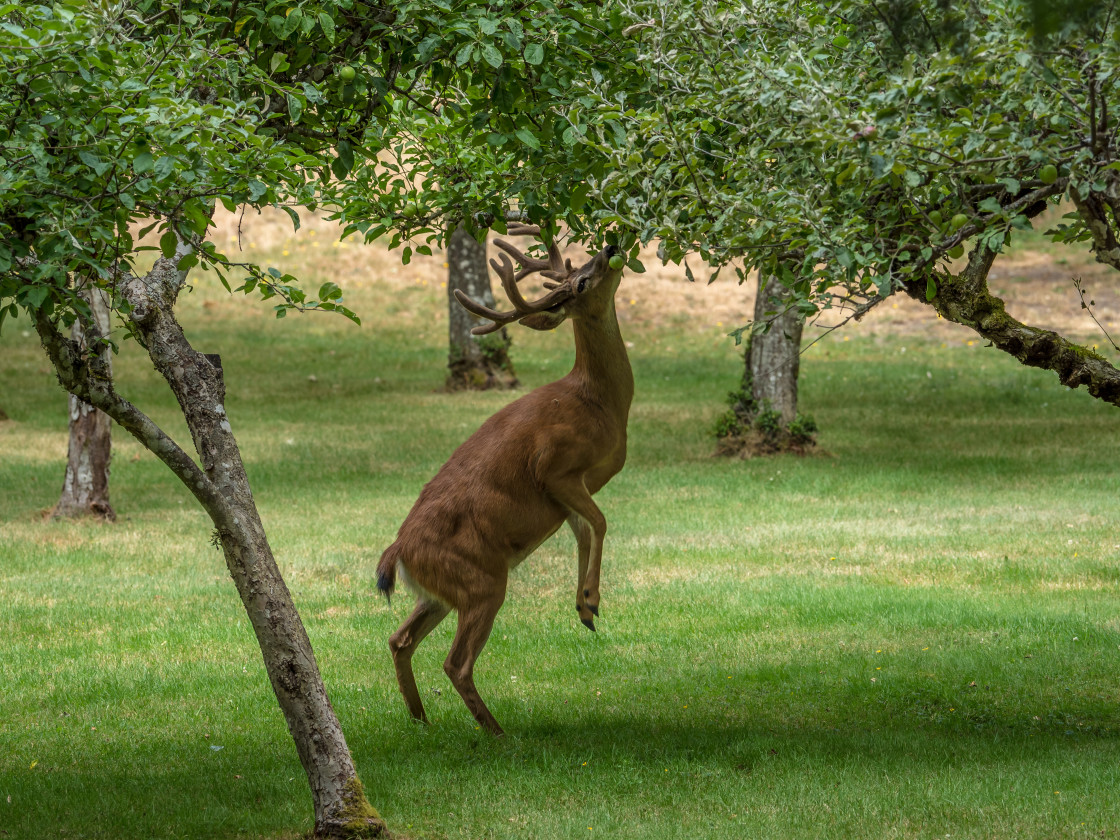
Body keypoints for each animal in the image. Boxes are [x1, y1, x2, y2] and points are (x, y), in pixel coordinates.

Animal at [376, 224, 636, 734]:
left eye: (581, 264)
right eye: (580, 281)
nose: (611, 246)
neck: (600, 403)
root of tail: (398, 552)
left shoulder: (570, 494)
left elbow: (584, 532)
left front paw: (583, 608)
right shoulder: (556, 466)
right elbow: (600, 523)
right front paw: (592, 599)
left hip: (442, 592)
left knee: (399, 639)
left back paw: (421, 719)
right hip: (482, 581)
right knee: (456, 662)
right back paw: (495, 731)